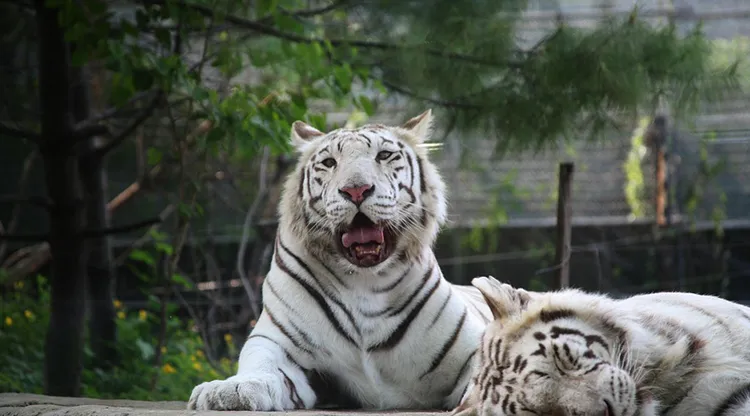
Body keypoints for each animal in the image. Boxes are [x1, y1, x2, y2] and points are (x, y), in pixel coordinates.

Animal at [187, 109, 500, 412]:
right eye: (329, 162)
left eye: (384, 155)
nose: (356, 190)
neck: (366, 281)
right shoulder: (275, 342)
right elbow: (260, 366)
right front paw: (227, 391)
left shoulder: (475, 345)